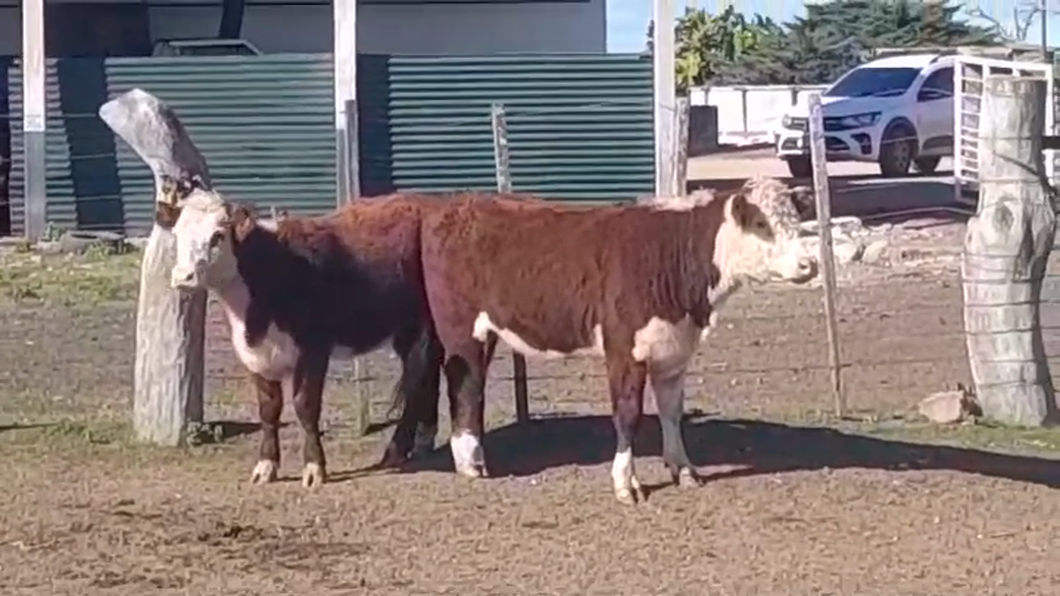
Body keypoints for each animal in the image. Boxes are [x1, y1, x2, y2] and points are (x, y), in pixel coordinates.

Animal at [163, 189, 445, 487]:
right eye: (177, 233)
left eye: (217, 235)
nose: (183, 277)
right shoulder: (254, 357)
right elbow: (268, 411)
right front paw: (265, 467)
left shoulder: (313, 350)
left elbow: (305, 406)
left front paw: (313, 468)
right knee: (428, 376)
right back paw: (424, 441)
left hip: (420, 328)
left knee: (416, 381)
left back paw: (396, 450)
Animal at [417, 174, 814, 500]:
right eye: (762, 224)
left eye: (796, 222)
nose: (809, 265)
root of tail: (458, 202)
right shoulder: (624, 350)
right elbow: (627, 414)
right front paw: (626, 483)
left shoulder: (673, 351)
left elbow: (671, 412)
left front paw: (683, 469)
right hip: (461, 331)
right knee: (464, 385)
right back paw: (470, 462)